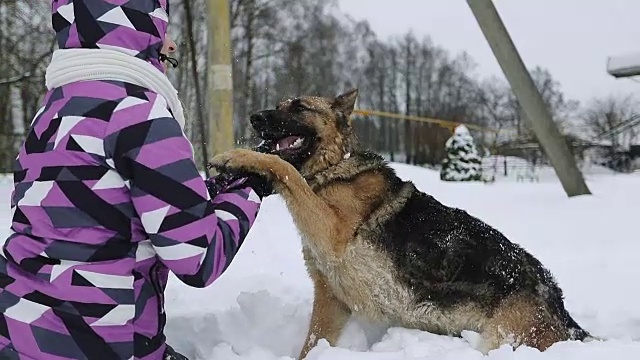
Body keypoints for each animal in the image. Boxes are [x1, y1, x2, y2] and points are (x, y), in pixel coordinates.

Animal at [211, 89, 596, 358]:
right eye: (279, 105)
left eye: (298, 107)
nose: (254, 117)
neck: (335, 169)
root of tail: (562, 310)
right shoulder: (331, 299)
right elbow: (311, 345)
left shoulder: (330, 231)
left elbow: (285, 169)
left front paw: (238, 156)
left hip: (500, 340)